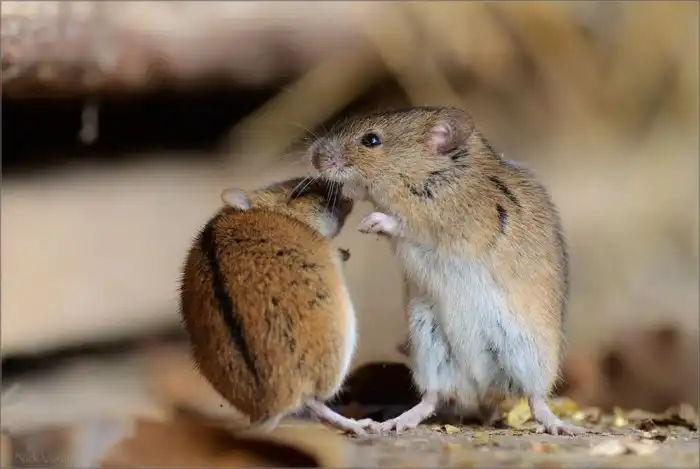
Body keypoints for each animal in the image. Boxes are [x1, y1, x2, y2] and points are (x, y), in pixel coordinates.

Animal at [179, 177, 376, 436]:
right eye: (298, 193)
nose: (346, 192)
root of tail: (277, 406)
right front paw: (345, 252)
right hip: (344, 335)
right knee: (315, 401)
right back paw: (363, 426)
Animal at [308, 106, 585, 436]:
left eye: (371, 140)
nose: (313, 157)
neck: (438, 172)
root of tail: (480, 395)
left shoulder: (440, 222)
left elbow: (400, 223)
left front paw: (370, 221)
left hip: (531, 354)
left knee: (536, 398)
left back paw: (563, 426)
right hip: (429, 345)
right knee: (432, 397)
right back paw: (393, 423)